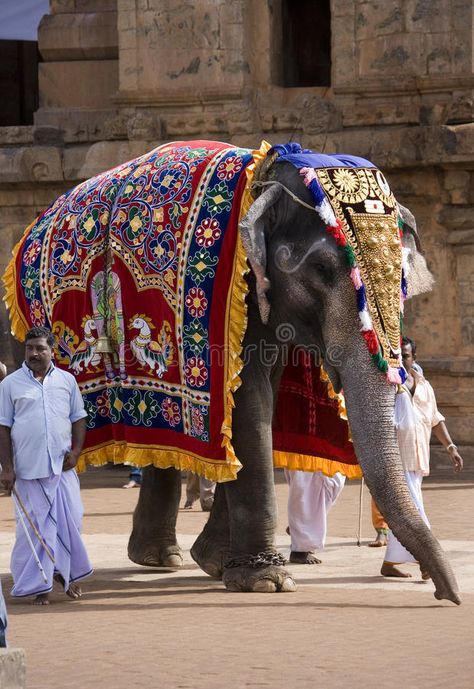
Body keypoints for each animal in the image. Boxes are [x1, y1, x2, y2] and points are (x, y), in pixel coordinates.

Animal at [3, 140, 462, 600]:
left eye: (403, 278)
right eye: (322, 270)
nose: (446, 594)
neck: (265, 176)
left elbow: (260, 400)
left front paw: (216, 563)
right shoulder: (231, 302)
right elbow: (245, 400)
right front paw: (266, 581)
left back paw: (158, 558)